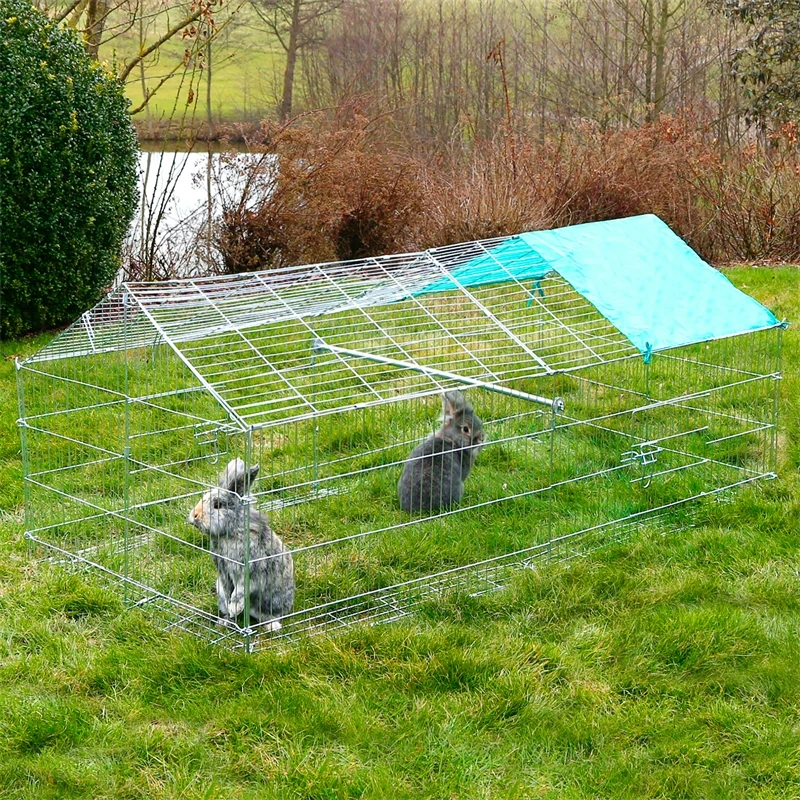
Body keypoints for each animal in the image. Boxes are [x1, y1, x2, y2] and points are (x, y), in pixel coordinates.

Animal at [188, 458, 294, 631]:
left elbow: (240, 591)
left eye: (217, 505)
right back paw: (225, 621)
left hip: (271, 603)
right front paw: (230, 609)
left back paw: (273, 626)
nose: (195, 515)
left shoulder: (251, 571)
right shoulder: (223, 572)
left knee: (269, 616)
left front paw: (235, 607)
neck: (230, 532)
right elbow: (228, 590)